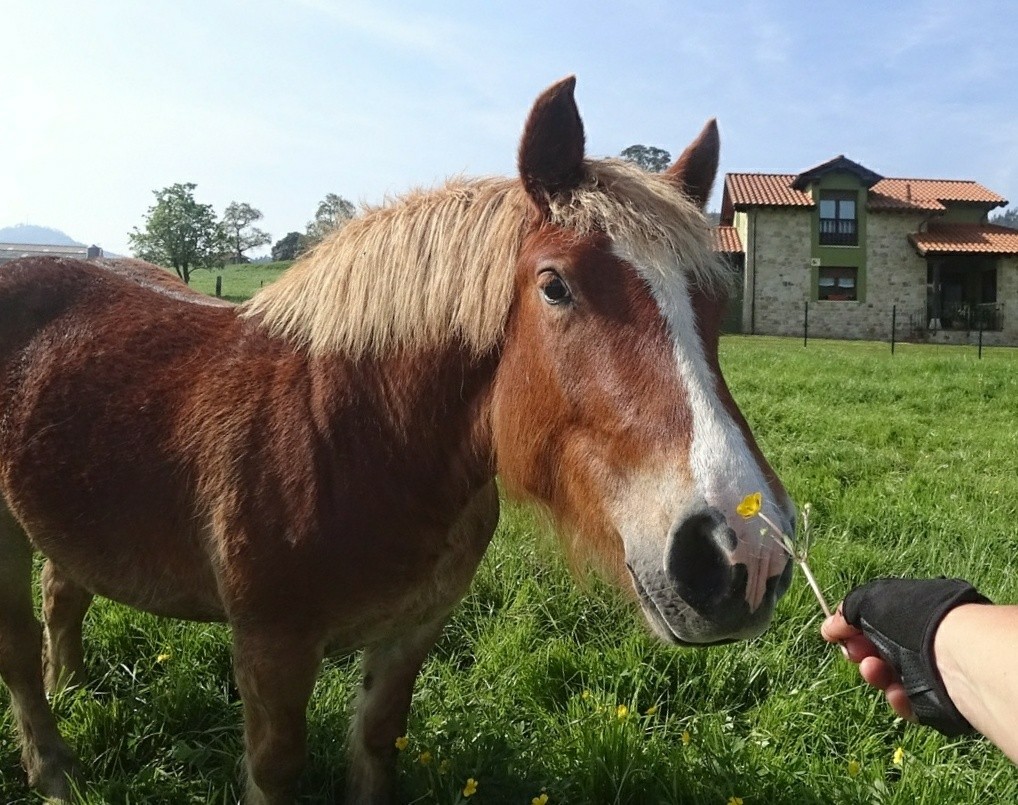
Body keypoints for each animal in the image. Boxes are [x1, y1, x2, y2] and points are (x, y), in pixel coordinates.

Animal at [0, 77, 794, 805]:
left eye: (715, 300)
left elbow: (379, 742)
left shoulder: (412, 633)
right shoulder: (270, 648)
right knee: (19, 648)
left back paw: (78, 692)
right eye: (555, 285)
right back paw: (55, 767)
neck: (357, 438)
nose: (744, 553)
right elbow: (276, 769)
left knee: (62, 595)